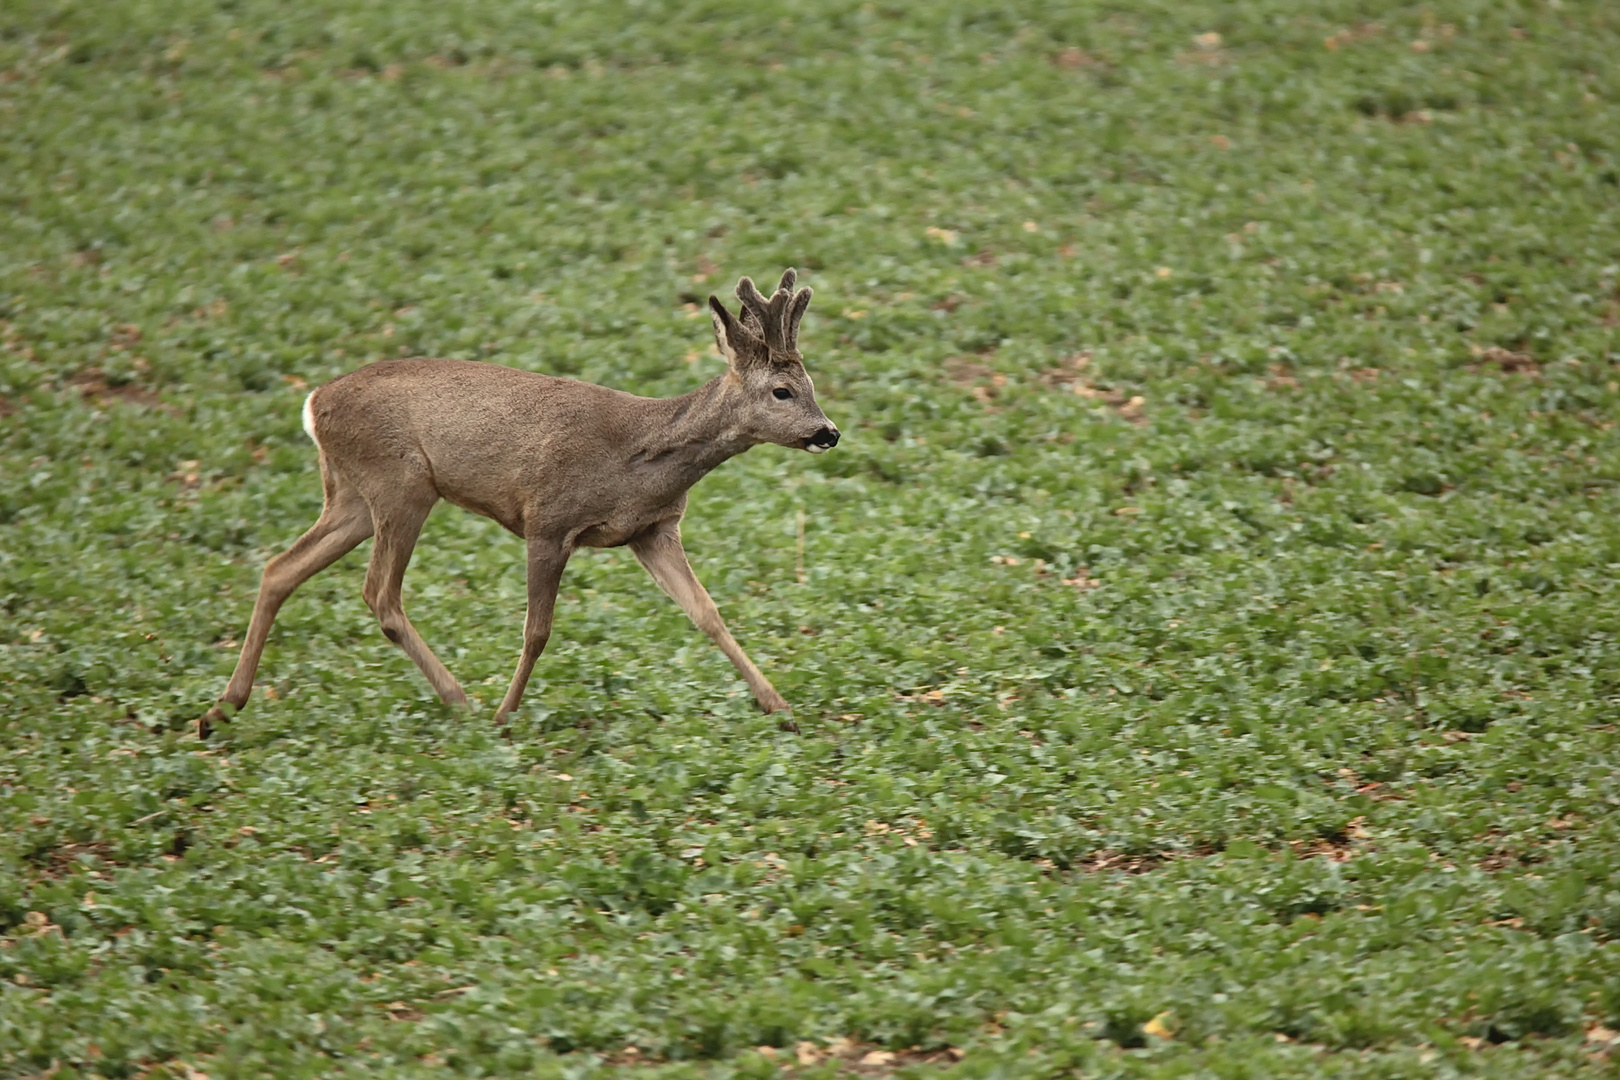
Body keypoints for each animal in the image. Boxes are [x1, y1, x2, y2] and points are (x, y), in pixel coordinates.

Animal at [200, 275, 835, 738]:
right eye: (781, 391)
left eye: (811, 384)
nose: (828, 432)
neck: (636, 458)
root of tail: (313, 403)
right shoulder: (547, 520)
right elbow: (537, 630)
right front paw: (507, 715)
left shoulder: (652, 531)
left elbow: (708, 614)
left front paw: (780, 707)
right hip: (401, 483)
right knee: (378, 591)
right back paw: (462, 700)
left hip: (353, 495)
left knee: (280, 569)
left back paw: (220, 710)